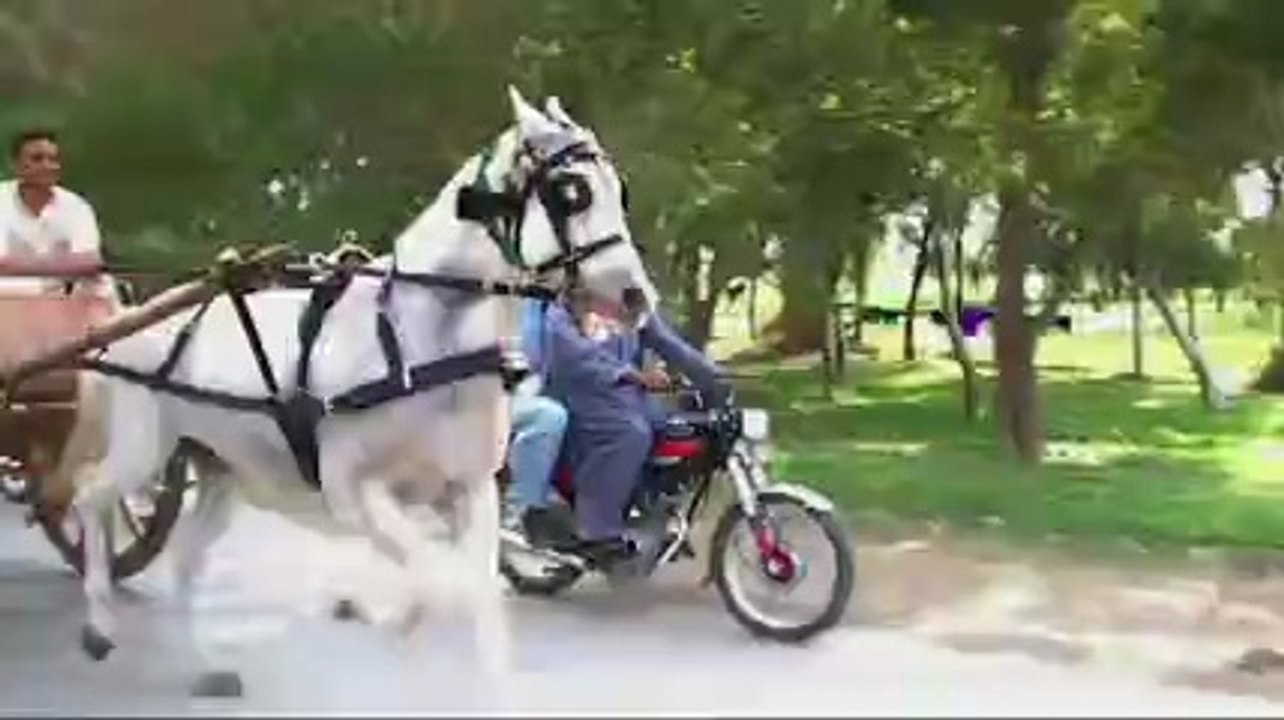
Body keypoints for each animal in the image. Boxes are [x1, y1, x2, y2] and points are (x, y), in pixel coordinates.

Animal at [61, 87, 658, 694]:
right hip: (143, 446)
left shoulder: (470, 490)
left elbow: (480, 601)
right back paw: (99, 625)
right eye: (572, 193)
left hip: (222, 468)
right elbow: (435, 581)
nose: (637, 297)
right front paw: (381, 614)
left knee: (184, 556)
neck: (417, 339)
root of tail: (132, 321)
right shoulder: (353, 490)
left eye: (618, 190)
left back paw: (206, 665)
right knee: (89, 497)